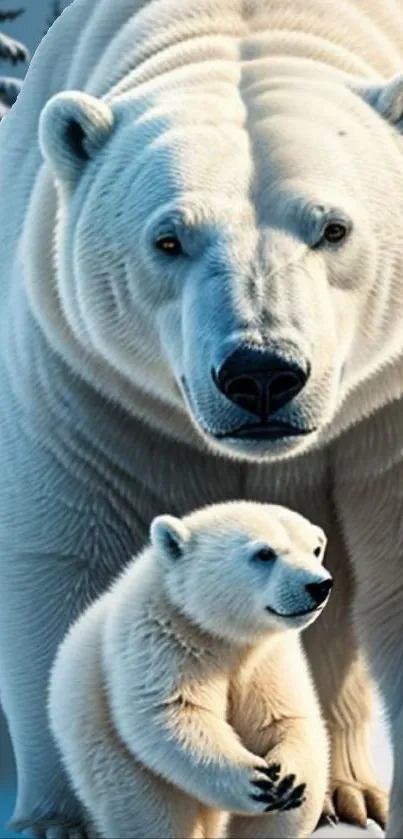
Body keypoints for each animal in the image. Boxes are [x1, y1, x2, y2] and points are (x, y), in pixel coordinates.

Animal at [47, 498, 332, 839]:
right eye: (265, 553)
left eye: (315, 548)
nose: (319, 585)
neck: (221, 634)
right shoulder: (160, 638)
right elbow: (173, 712)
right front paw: (255, 782)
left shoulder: (268, 656)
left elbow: (282, 717)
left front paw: (288, 781)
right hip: (108, 749)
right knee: (151, 814)